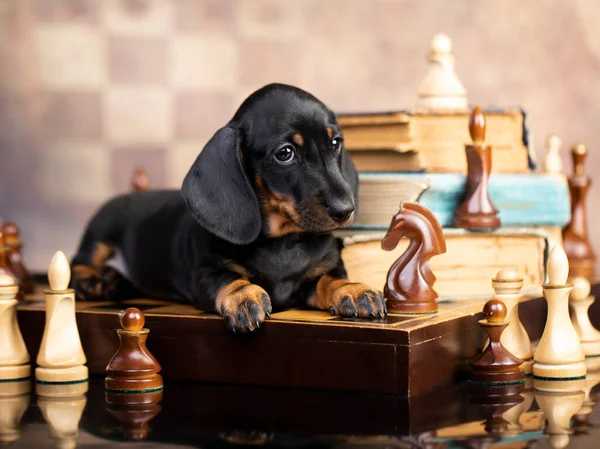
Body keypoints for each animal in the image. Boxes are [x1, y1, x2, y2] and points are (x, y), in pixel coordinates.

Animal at [70, 83, 386, 332]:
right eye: (285, 153)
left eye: (335, 142)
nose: (345, 210)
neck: (282, 242)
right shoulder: (206, 272)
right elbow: (228, 278)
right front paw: (243, 297)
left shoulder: (323, 270)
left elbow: (331, 279)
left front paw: (354, 290)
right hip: (100, 235)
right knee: (76, 263)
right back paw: (95, 281)